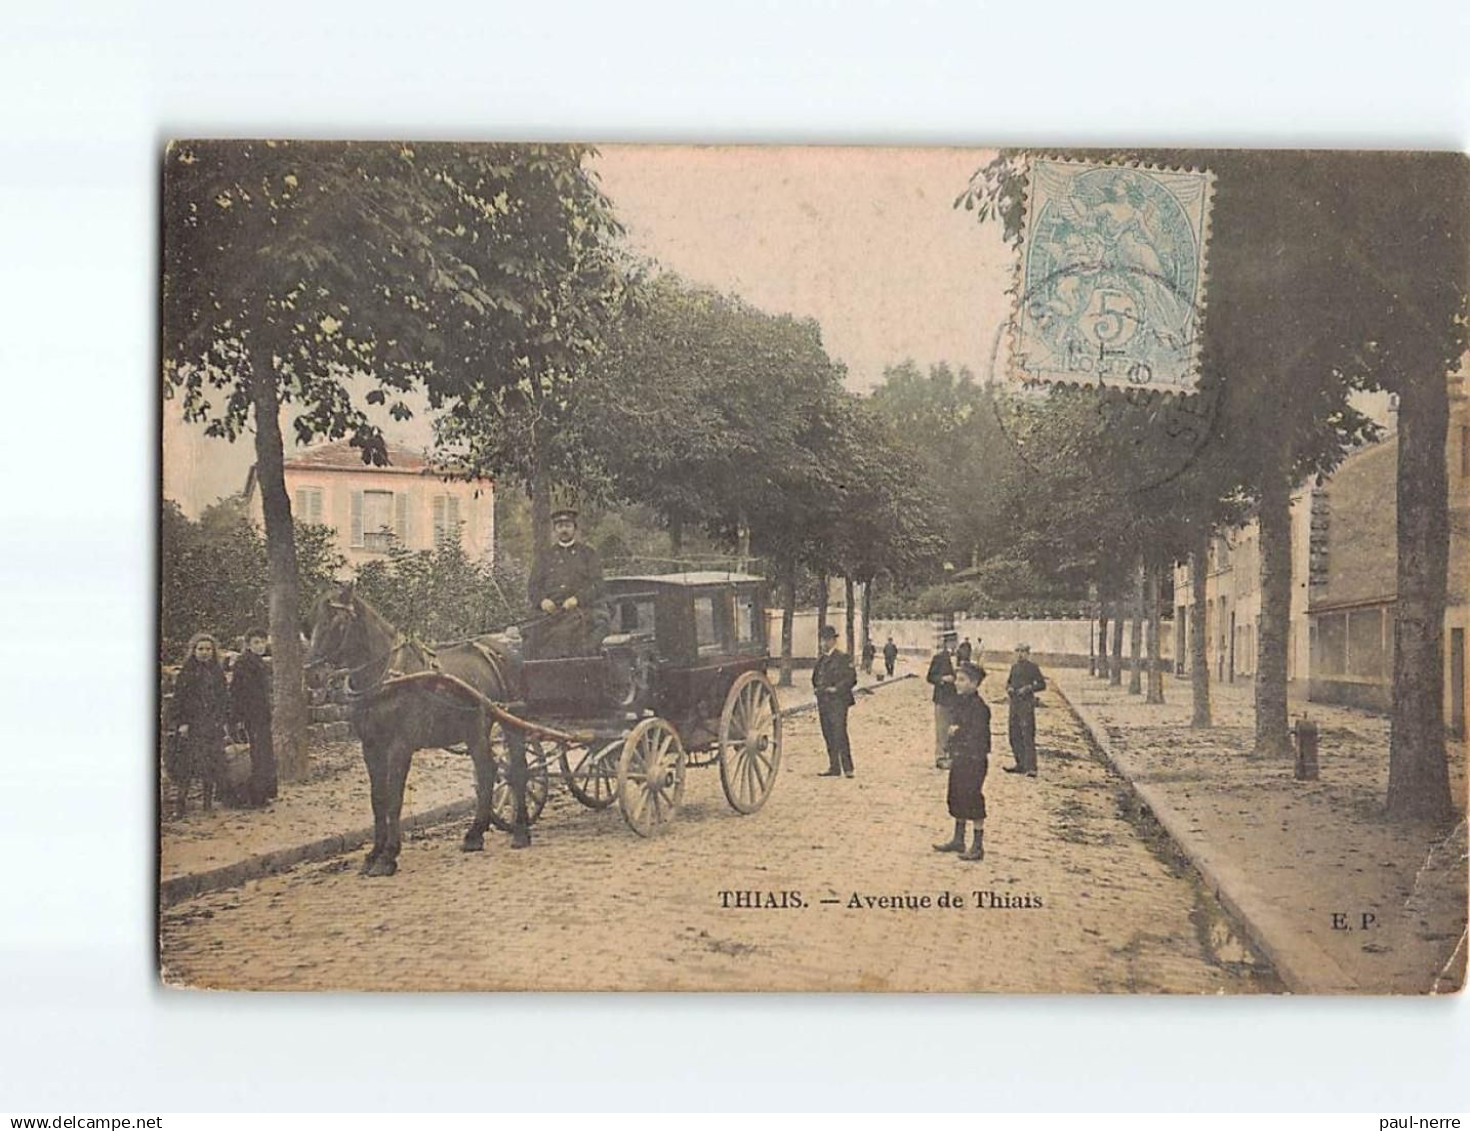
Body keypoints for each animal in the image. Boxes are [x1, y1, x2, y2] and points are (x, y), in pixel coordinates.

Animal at [301, 582, 532, 870]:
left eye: (338, 623)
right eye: (310, 624)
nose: (312, 674)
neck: (386, 676)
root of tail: (505, 651)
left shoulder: (400, 747)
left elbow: (394, 799)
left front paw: (388, 856)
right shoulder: (371, 747)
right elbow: (378, 799)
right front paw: (374, 853)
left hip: (511, 723)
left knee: (518, 770)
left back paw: (520, 832)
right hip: (475, 730)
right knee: (488, 771)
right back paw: (475, 834)